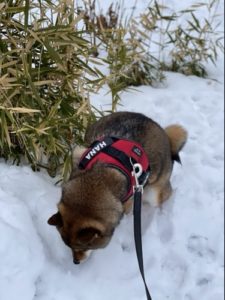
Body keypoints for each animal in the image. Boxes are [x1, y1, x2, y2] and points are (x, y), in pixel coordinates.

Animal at [48, 111, 187, 264]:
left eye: (84, 247)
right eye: (68, 246)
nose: (75, 262)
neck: (98, 180)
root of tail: (165, 134)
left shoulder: (129, 201)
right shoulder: (78, 153)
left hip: (154, 192)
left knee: (165, 195)